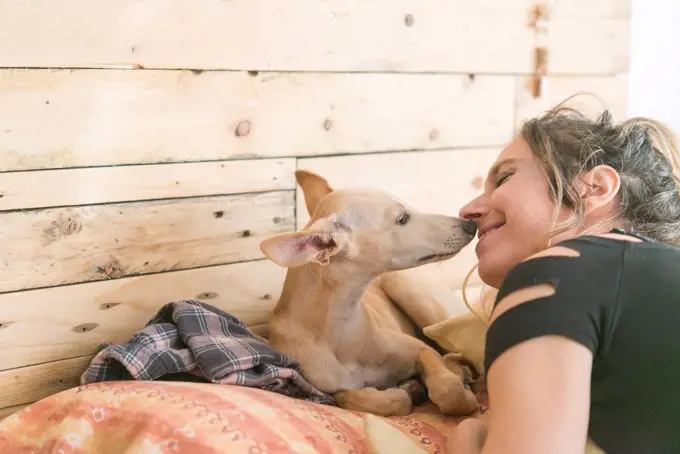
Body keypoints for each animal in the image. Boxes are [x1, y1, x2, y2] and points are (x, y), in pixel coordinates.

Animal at [258, 171, 478, 418]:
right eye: (402, 219)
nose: (471, 224)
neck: (344, 334)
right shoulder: (326, 390)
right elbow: (360, 399)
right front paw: (403, 392)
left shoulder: (419, 348)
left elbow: (447, 388)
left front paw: (461, 394)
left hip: (414, 297)